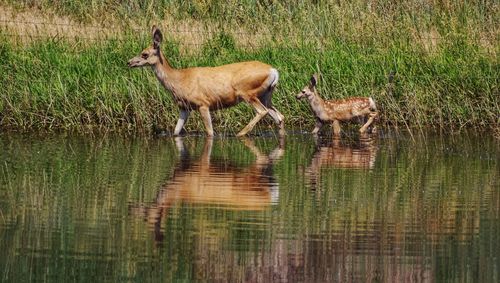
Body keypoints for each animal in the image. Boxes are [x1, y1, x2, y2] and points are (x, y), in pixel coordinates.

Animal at [128, 26, 286, 137]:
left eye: (144, 54)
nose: (129, 62)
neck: (178, 79)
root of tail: (273, 71)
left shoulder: (203, 103)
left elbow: (210, 132)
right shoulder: (184, 107)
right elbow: (176, 131)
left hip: (247, 92)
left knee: (262, 111)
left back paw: (239, 133)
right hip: (266, 95)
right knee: (279, 116)